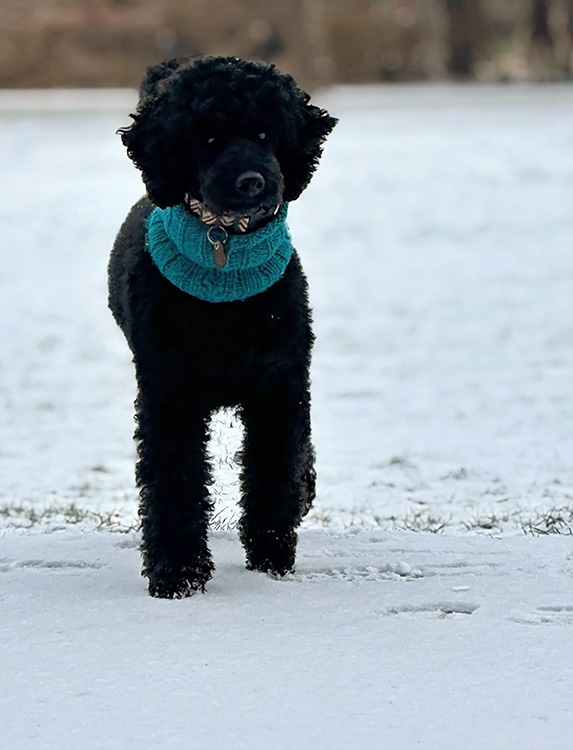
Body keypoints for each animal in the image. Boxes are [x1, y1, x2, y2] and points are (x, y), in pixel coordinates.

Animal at [108, 56, 337, 598]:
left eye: (265, 133)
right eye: (208, 137)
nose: (252, 181)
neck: (224, 255)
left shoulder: (278, 387)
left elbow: (274, 470)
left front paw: (273, 555)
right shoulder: (170, 395)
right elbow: (174, 481)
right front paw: (178, 573)